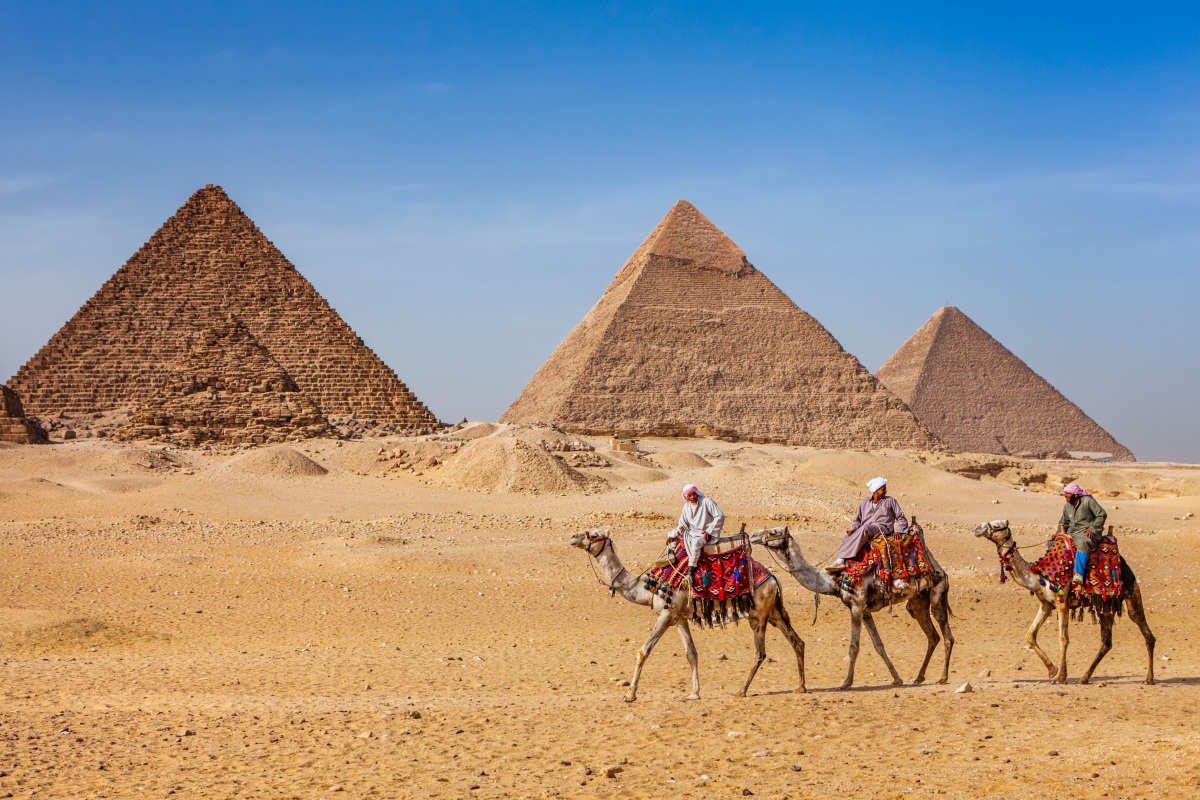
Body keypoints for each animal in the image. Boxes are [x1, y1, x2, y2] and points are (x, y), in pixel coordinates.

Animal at [568, 528, 807, 702]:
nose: (573, 537)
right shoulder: (679, 618)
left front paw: (630, 694)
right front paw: (694, 692)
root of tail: (773, 579)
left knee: (760, 653)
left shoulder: (666, 614)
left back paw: (742, 690)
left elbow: (643, 651)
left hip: (758, 615)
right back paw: (801, 687)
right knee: (797, 641)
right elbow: (691, 653)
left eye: (593, 534)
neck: (646, 588)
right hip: (773, 612)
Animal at [748, 521, 953, 689]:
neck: (833, 580)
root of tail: (939, 568)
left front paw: (846, 682)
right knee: (932, 635)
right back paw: (919, 677)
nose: (753, 535)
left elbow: (854, 647)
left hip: (938, 593)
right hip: (917, 603)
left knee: (947, 636)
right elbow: (879, 645)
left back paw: (943, 678)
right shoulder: (865, 611)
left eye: (773, 532)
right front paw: (897, 679)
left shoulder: (856, 606)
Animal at [974, 519, 1155, 685]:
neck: (1039, 575)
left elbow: (1063, 639)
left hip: (1131, 593)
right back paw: (1084, 678)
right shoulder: (1046, 605)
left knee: (1145, 632)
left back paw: (1149, 679)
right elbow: (1030, 634)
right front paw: (1052, 670)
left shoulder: (1062, 603)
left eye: (997, 525)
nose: (977, 528)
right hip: (1104, 606)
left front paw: (1061, 676)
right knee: (1106, 642)